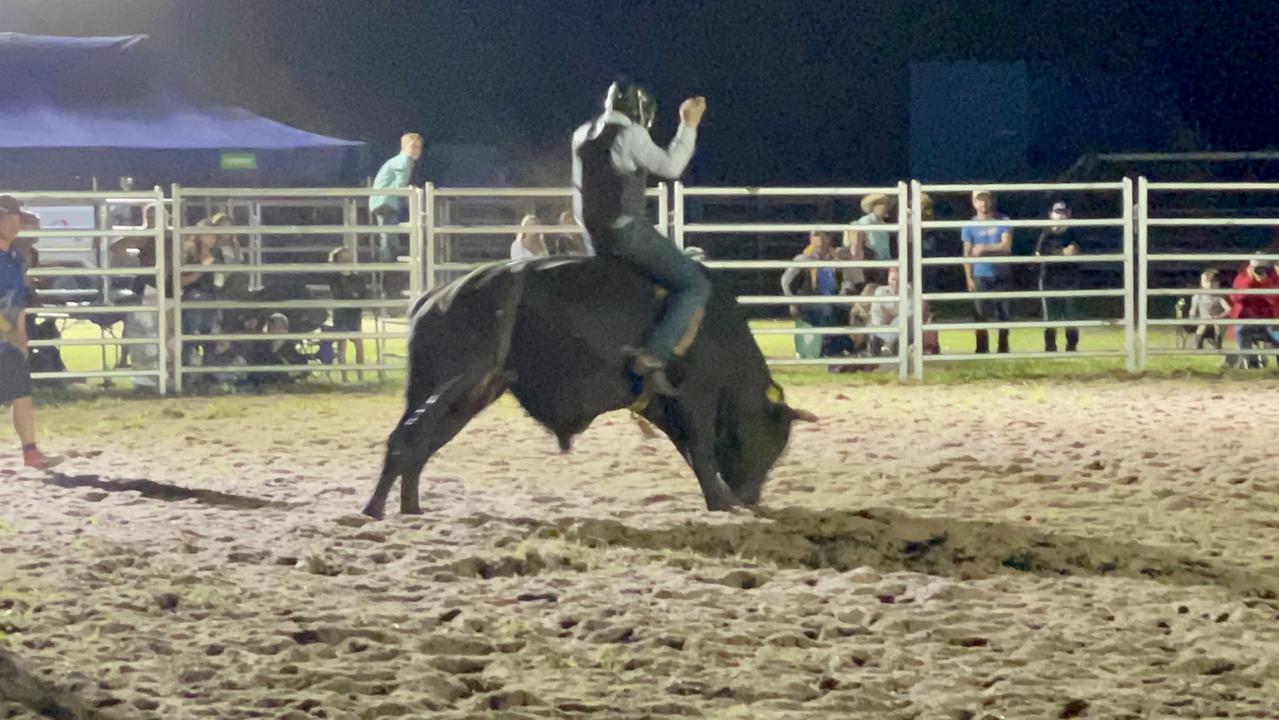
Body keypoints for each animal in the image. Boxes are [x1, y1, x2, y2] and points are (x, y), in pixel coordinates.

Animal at [363, 255, 818, 521]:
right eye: (774, 440)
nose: (753, 497)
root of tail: (433, 298)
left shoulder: (665, 406)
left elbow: (690, 451)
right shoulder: (696, 395)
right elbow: (702, 449)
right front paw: (722, 503)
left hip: (470, 393)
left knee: (420, 443)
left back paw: (411, 508)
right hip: (455, 380)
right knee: (408, 438)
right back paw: (374, 510)